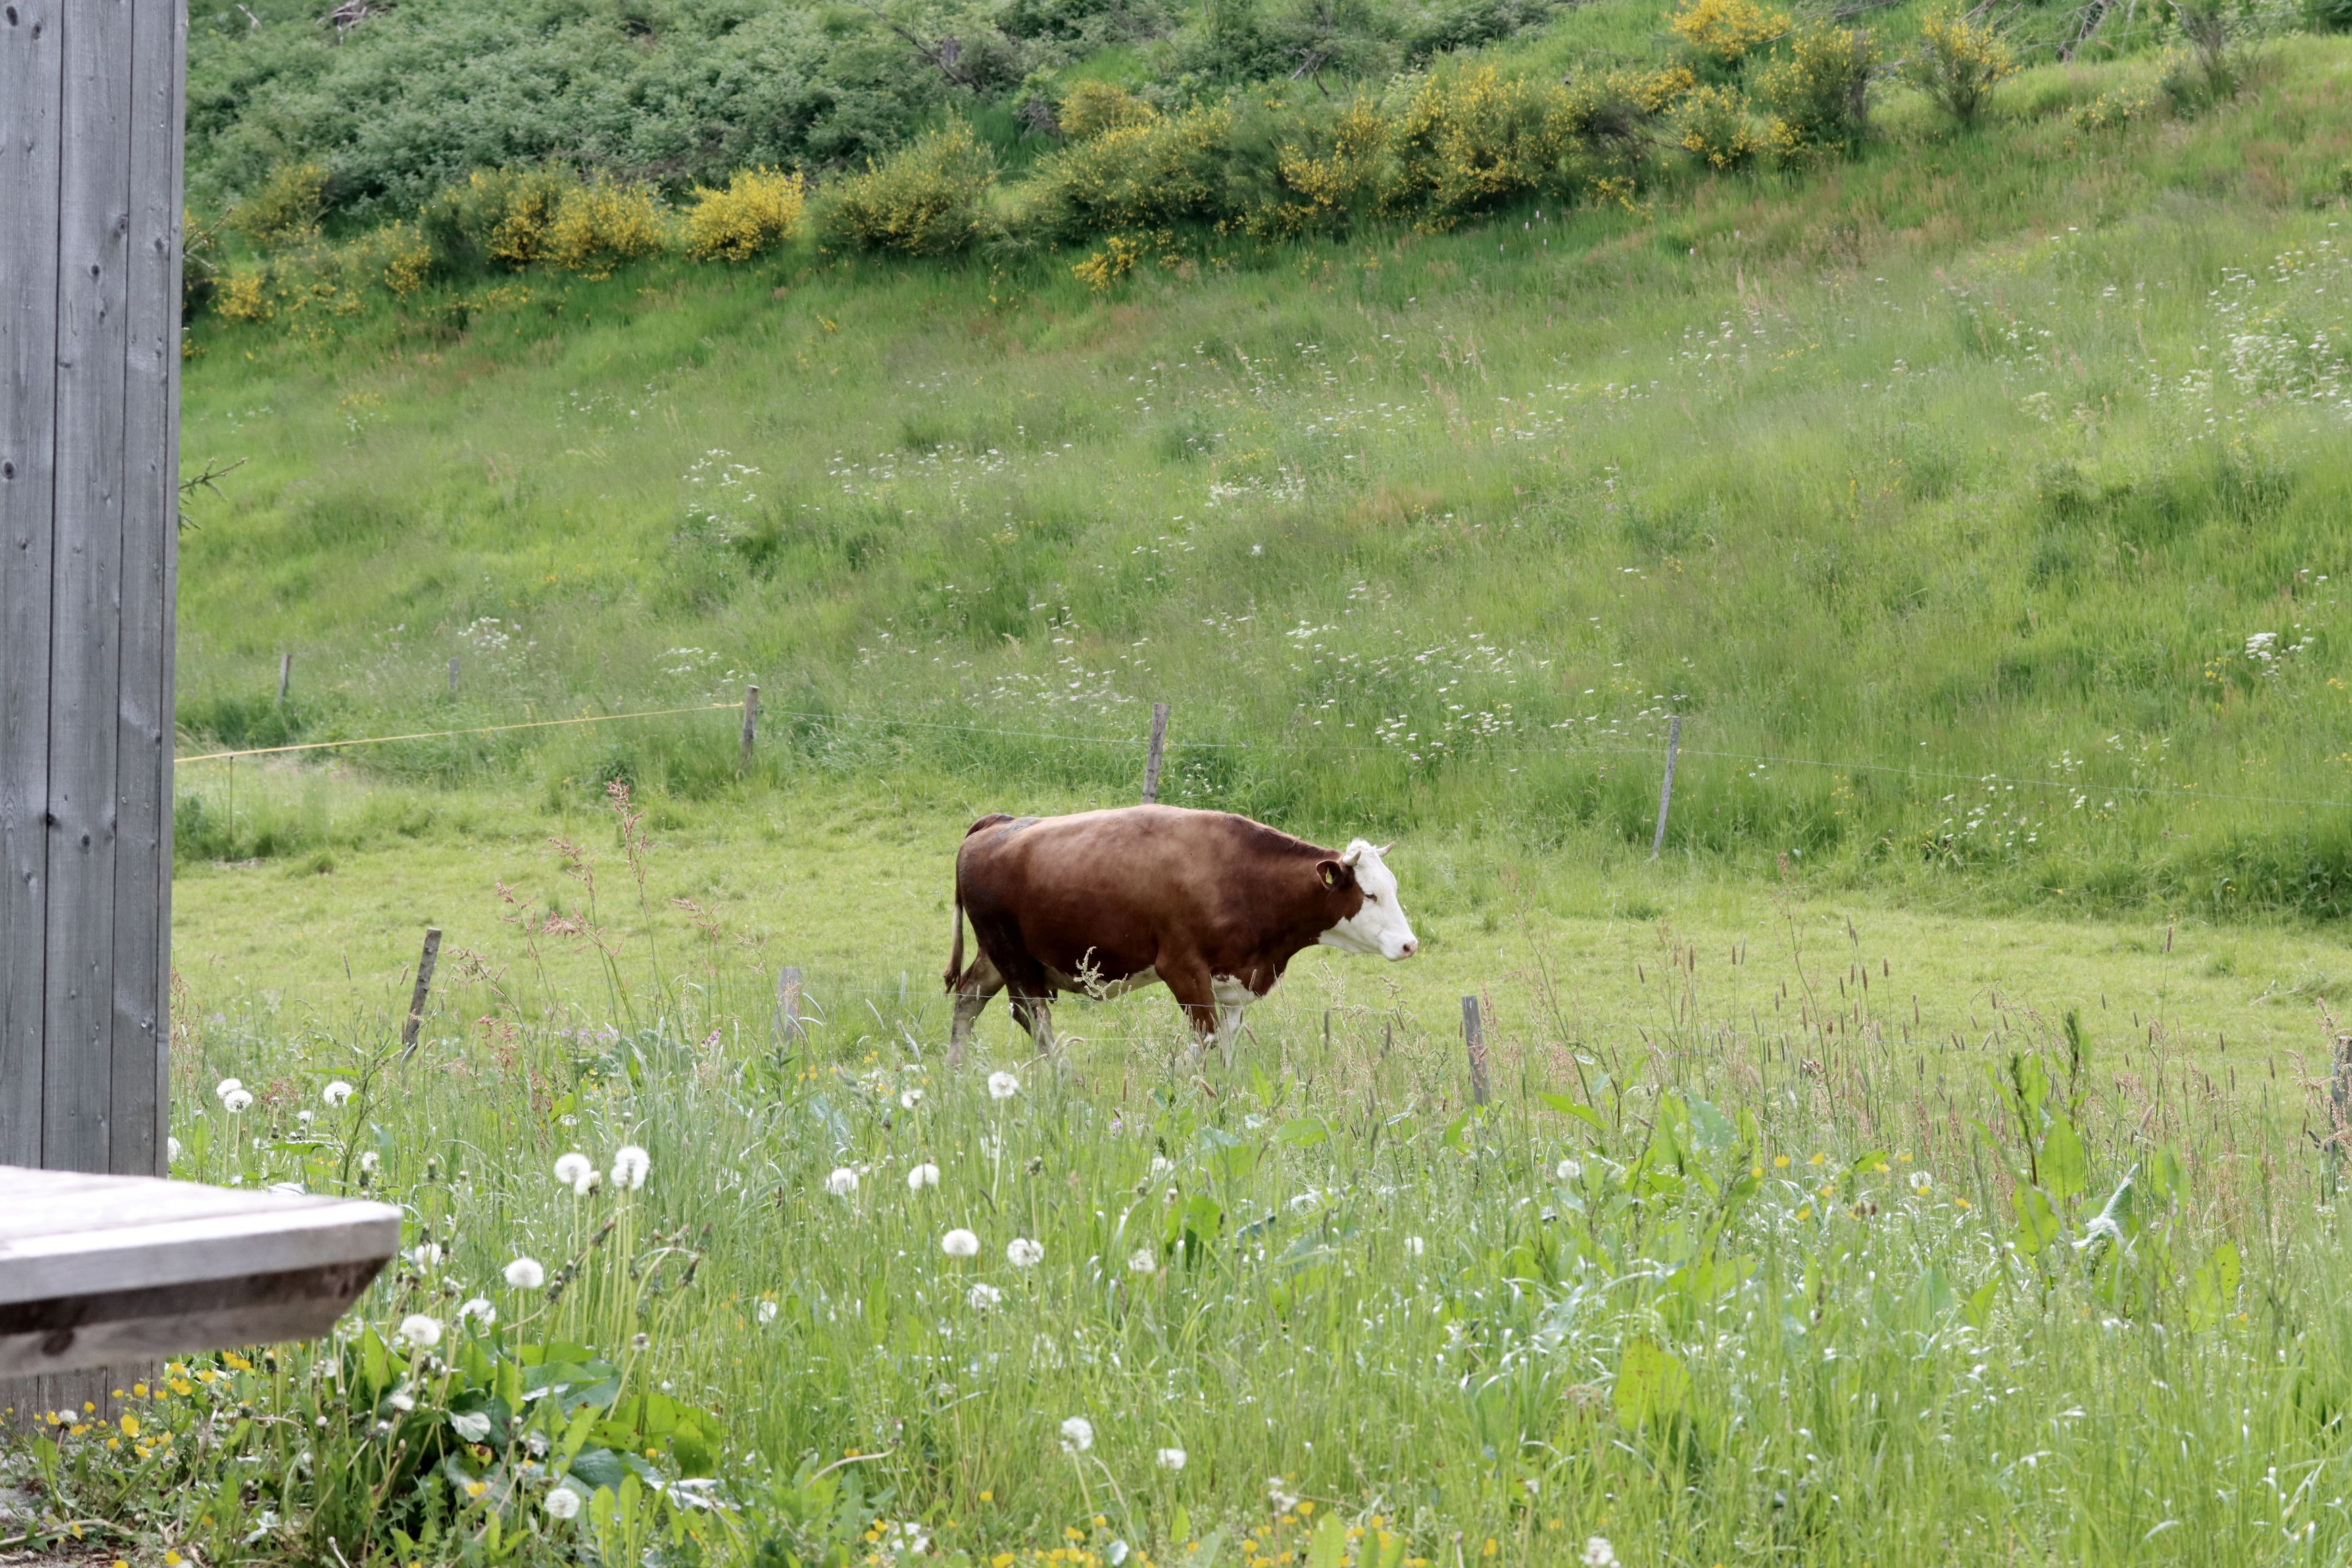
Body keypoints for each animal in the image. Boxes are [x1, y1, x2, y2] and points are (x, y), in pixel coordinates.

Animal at [942, 804, 1418, 1063]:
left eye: (1394, 888)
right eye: (1370, 894)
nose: (1409, 944)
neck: (1240, 876)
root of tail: (995, 824)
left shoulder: (1233, 981)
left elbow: (1226, 1043)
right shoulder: (1183, 969)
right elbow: (1202, 1042)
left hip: (998, 955)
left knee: (968, 999)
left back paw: (956, 1076)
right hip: (1013, 956)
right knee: (1033, 1018)